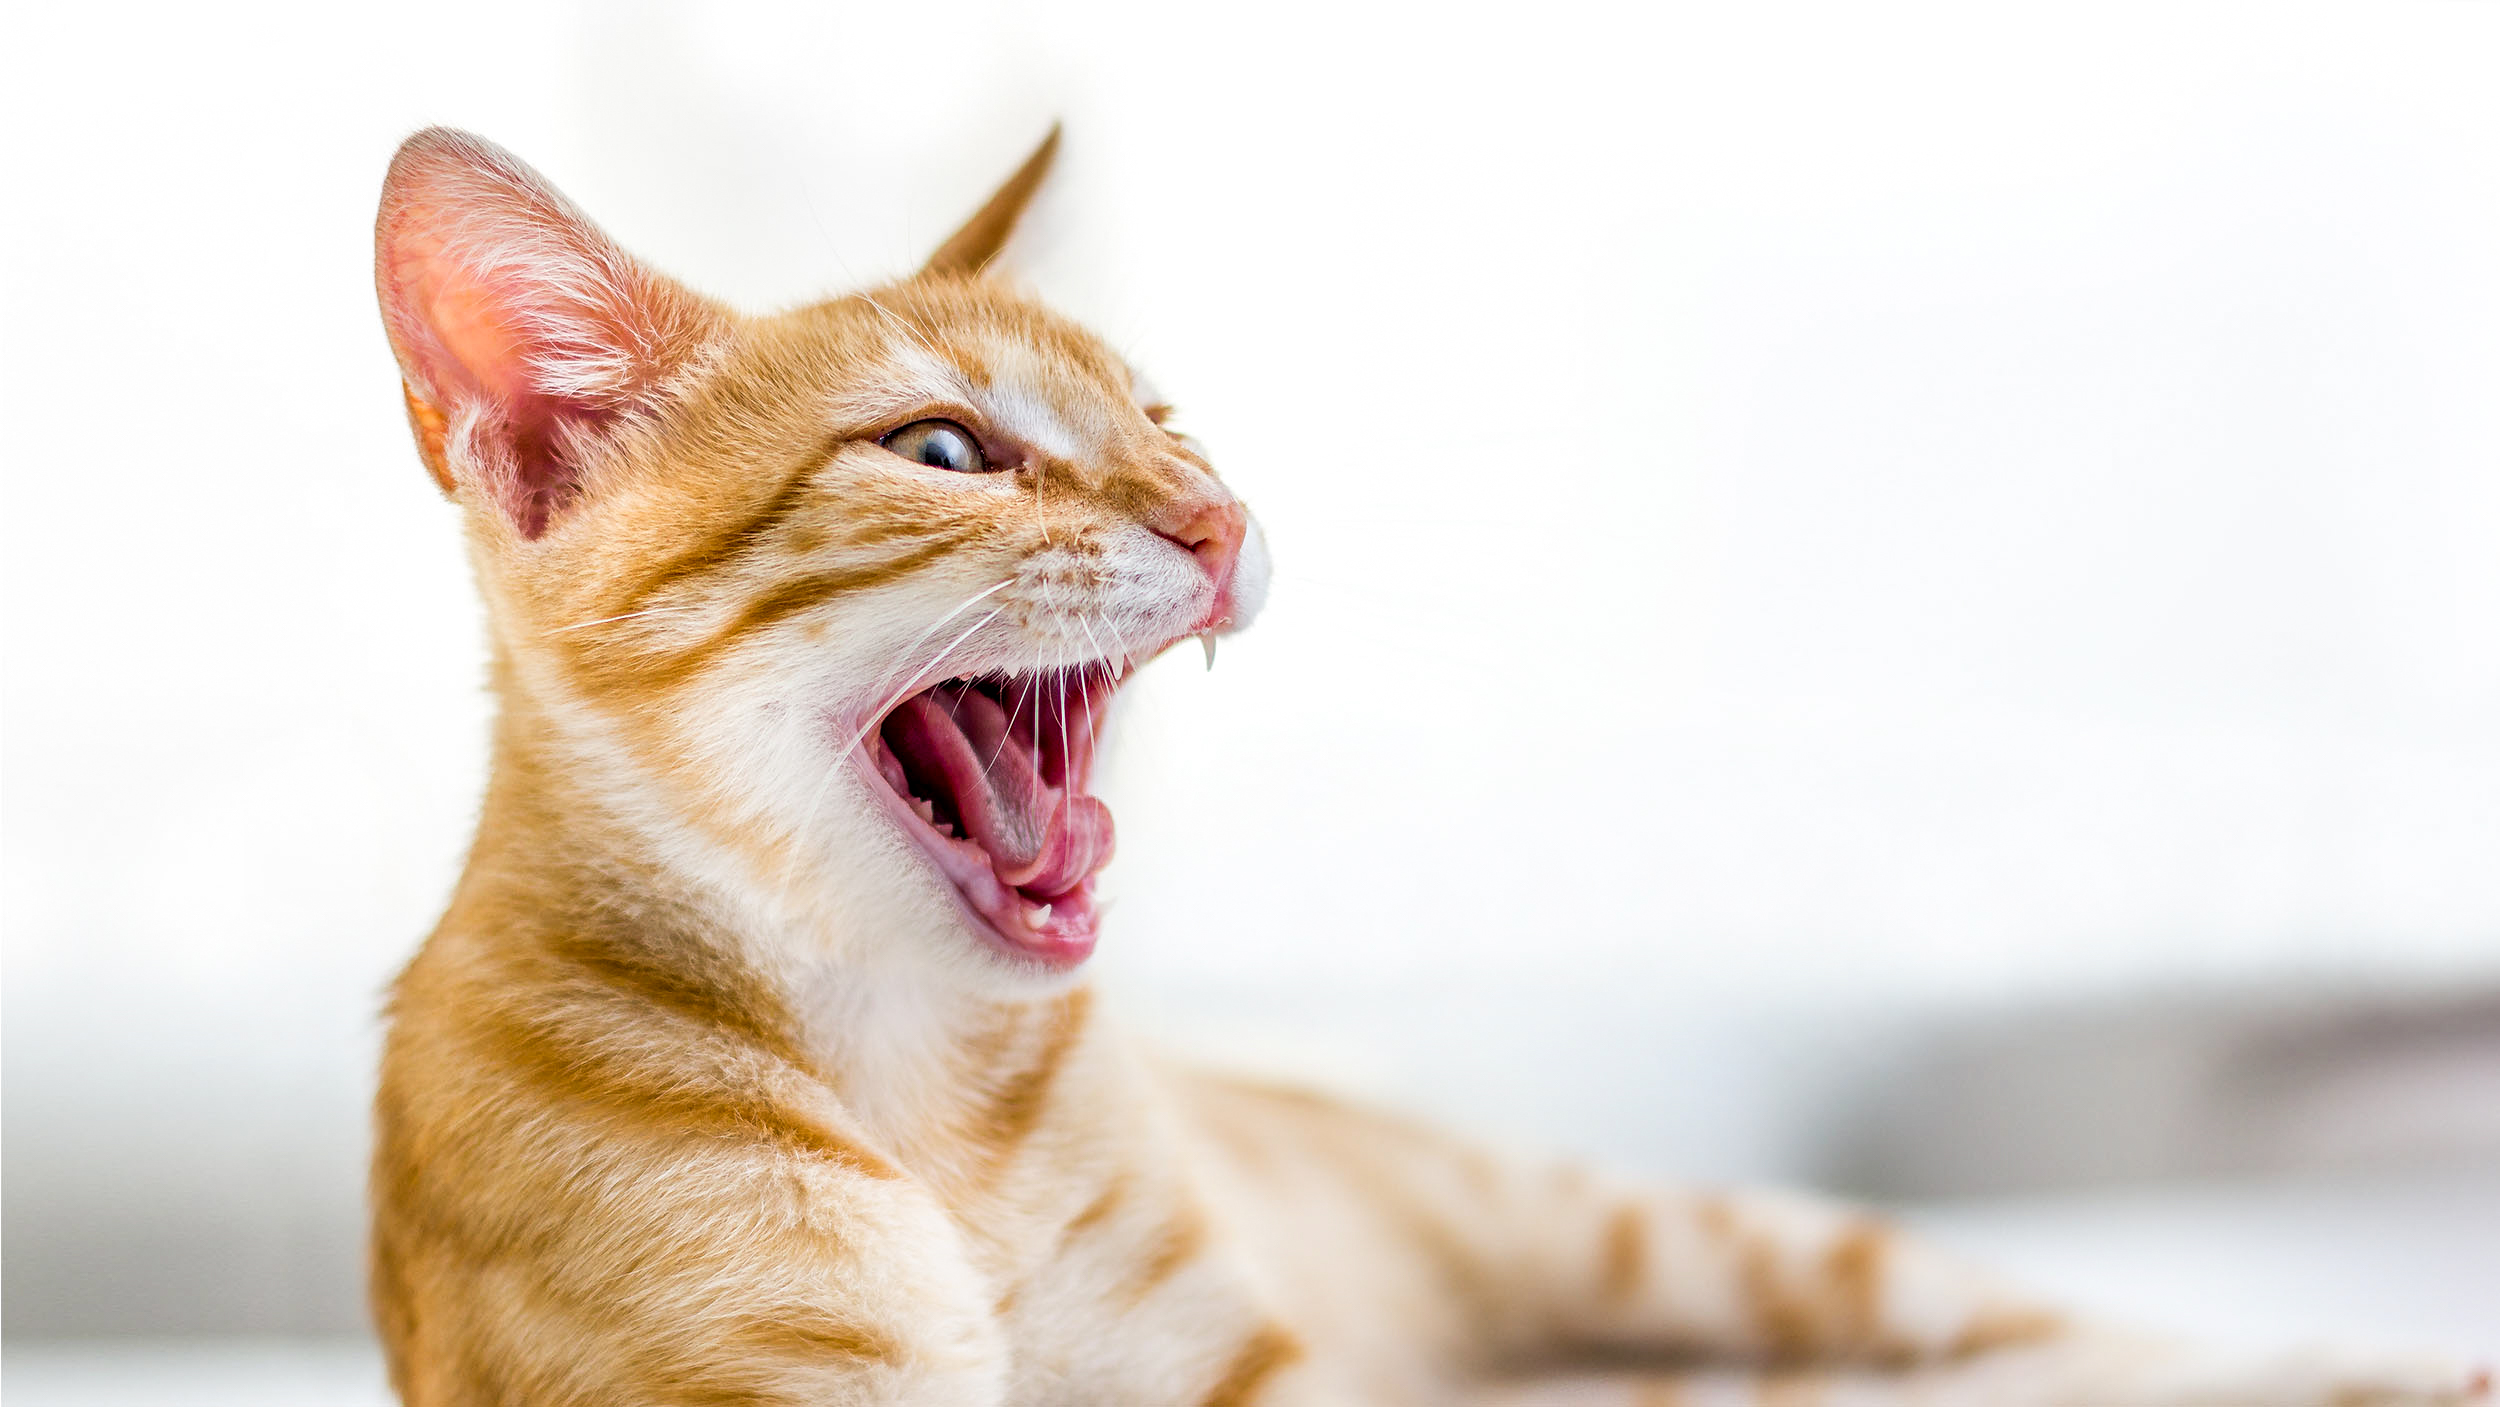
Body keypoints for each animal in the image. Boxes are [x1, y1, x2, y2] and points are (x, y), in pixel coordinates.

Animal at [362, 129, 2490, 1407]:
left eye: (1170, 419)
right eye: (945, 450)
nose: (1224, 514)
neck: (924, 1083)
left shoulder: (1248, 1374)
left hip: (1693, 1243)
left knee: (2057, 1340)